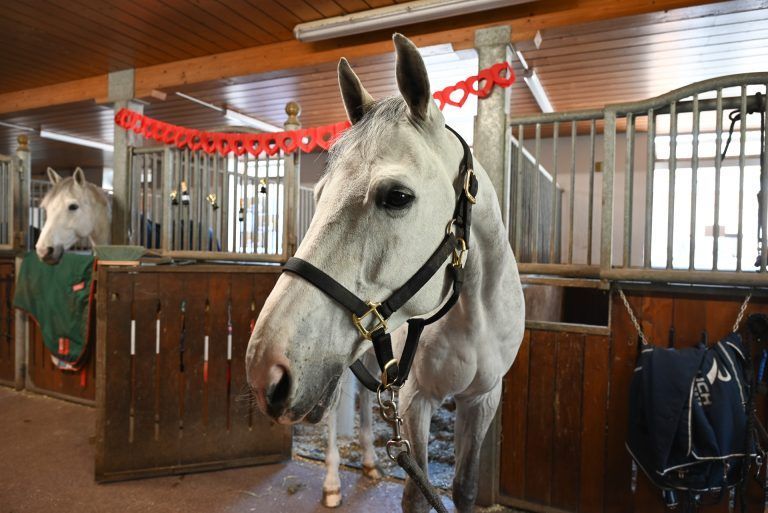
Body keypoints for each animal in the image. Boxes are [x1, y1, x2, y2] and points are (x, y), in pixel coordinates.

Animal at [246, 33, 525, 513]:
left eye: (397, 196)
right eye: (319, 193)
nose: (265, 368)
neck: (474, 313)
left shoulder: (483, 400)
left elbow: (465, 488)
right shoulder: (416, 400)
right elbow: (415, 493)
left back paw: (372, 463)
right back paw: (334, 482)